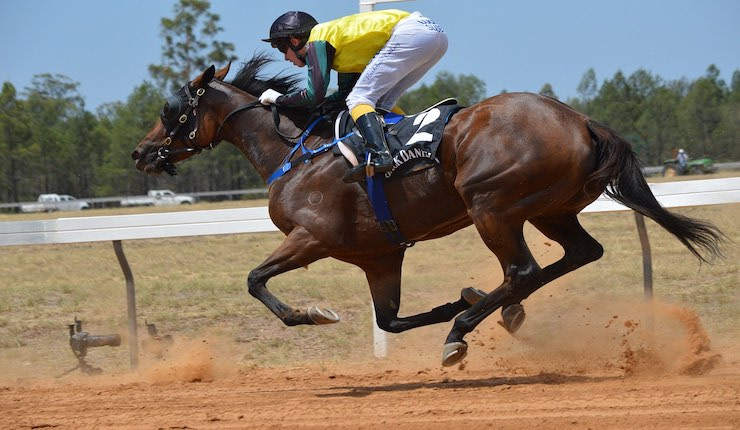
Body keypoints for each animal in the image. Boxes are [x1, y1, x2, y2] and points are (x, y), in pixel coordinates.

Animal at [132, 55, 724, 367]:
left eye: (172, 109)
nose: (141, 152)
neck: (296, 154)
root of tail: (581, 120)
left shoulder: (313, 237)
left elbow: (256, 279)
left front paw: (313, 313)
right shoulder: (378, 256)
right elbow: (390, 320)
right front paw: (466, 297)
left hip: (490, 205)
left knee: (524, 269)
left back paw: (464, 331)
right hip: (548, 209)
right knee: (578, 254)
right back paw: (496, 312)